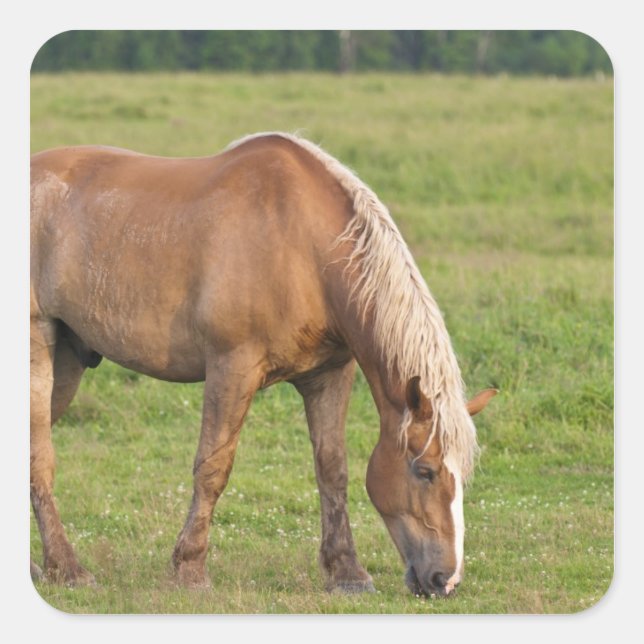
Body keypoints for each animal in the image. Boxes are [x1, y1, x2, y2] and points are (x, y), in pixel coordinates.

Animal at [30, 131, 496, 597]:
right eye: (425, 471)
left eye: (464, 474)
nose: (446, 579)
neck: (303, 246)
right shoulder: (232, 368)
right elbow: (213, 468)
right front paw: (190, 568)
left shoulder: (329, 375)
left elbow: (333, 469)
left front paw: (346, 571)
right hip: (39, 350)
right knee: (39, 456)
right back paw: (66, 568)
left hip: (68, 360)